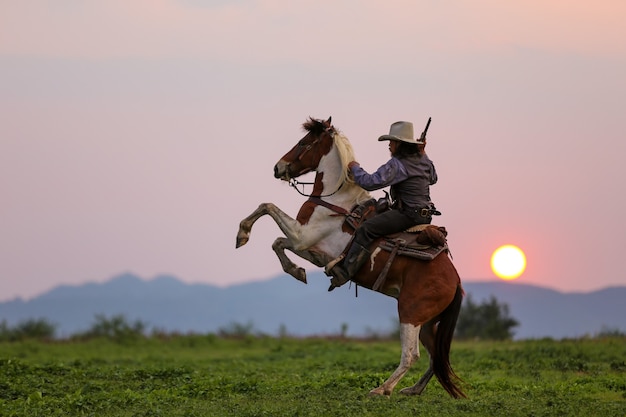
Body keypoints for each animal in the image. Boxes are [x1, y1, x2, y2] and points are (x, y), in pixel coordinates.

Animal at [236, 116, 466, 396]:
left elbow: (267, 207)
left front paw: (242, 234)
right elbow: (278, 243)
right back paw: (412, 389)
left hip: (410, 313)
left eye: (303, 142)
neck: (335, 199)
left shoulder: (302, 235)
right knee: (437, 356)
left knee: (412, 355)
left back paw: (382, 389)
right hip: (428, 322)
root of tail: (455, 280)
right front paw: (297, 271)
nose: (278, 167)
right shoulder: (310, 248)